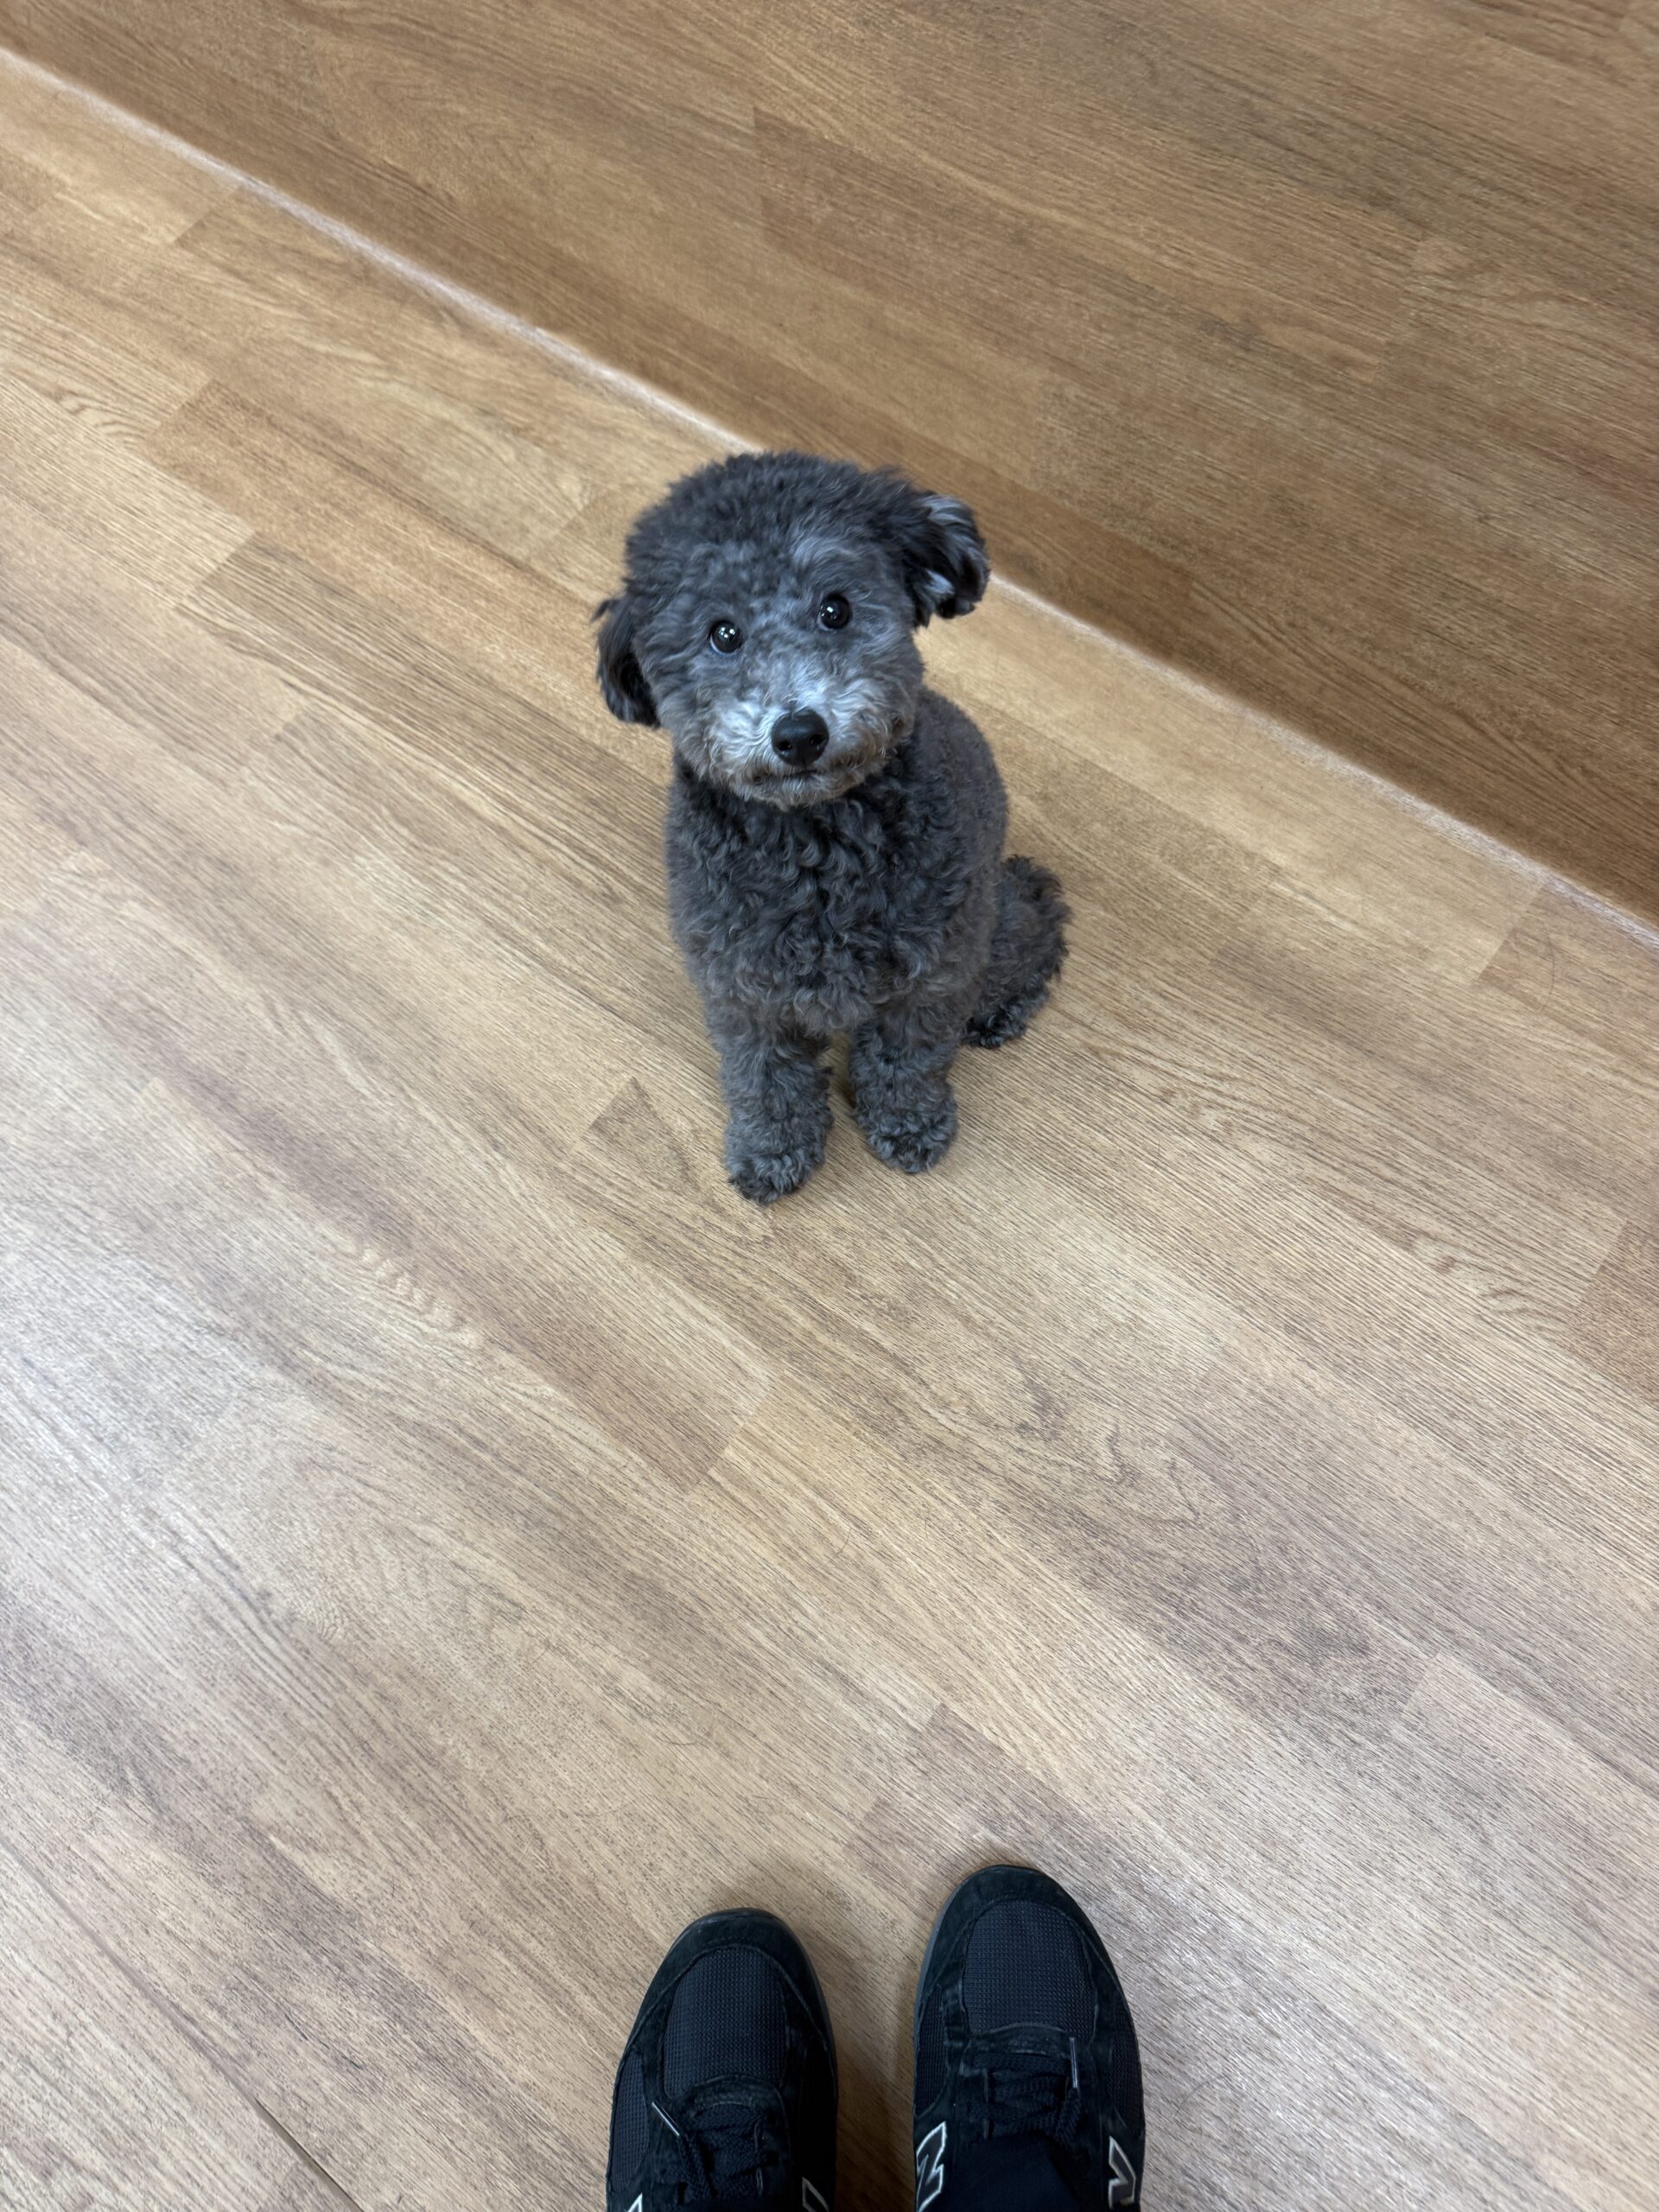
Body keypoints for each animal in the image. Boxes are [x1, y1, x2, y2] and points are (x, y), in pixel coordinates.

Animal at [594, 450, 1068, 1203]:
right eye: (722, 633)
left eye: (835, 608)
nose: (798, 733)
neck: (816, 846)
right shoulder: (743, 989)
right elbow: (765, 1078)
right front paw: (773, 1151)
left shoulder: (933, 977)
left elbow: (908, 1062)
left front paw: (909, 1124)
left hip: (993, 921)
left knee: (1037, 924)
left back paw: (1002, 1008)